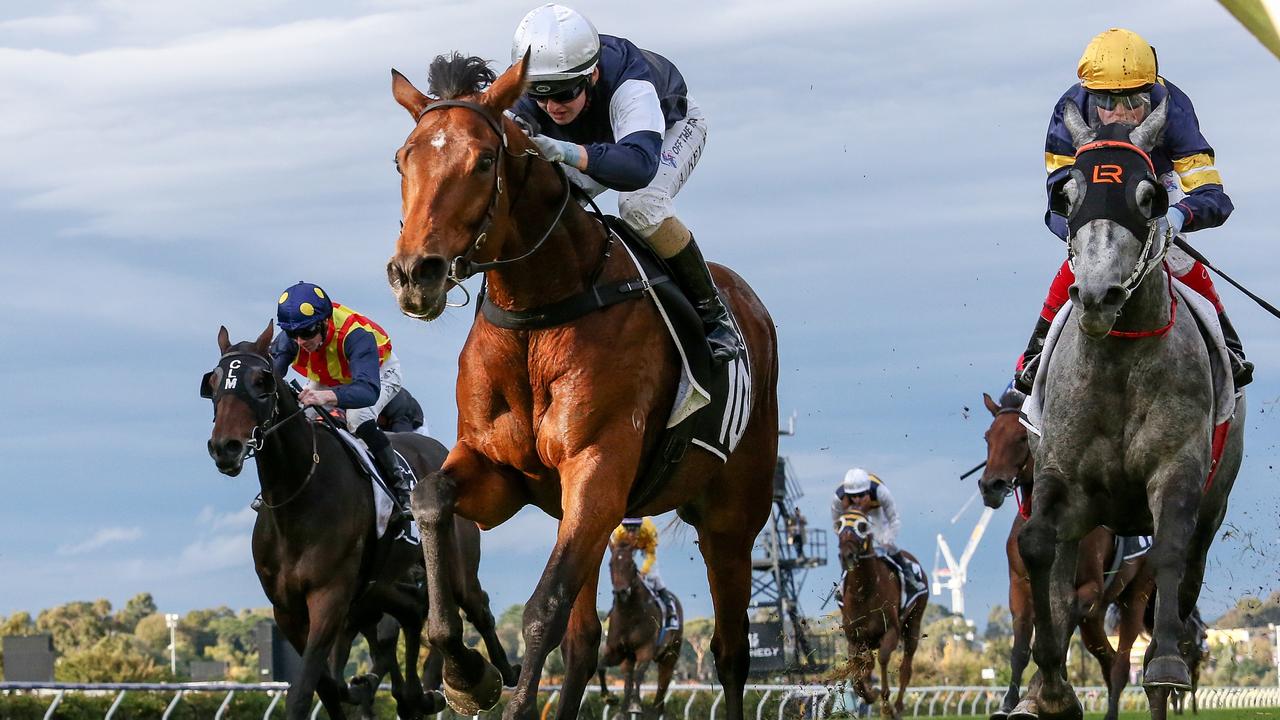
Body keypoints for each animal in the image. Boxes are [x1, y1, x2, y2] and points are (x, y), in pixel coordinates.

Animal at [596, 540, 680, 712]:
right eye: (610, 564)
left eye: (631, 564)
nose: (621, 592)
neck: (629, 614)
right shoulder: (617, 651)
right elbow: (601, 667)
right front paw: (608, 697)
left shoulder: (646, 649)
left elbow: (639, 675)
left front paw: (635, 704)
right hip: (630, 658)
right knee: (628, 679)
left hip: (669, 657)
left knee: (660, 688)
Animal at [834, 509, 926, 717]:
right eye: (839, 526)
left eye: (862, 527)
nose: (847, 555)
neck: (864, 592)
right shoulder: (855, 639)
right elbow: (858, 675)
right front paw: (870, 693)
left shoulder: (891, 630)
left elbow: (883, 658)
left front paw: (884, 700)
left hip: (914, 622)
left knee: (905, 667)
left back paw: (897, 706)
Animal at [972, 386, 1157, 717]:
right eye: (988, 436)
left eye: (1022, 438)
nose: (990, 485)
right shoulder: (1019, 586)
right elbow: (1019, 648)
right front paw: (1008, 704)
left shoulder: (1091, 587)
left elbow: (1063, 619)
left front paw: (1049, 684)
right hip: (1095, 619)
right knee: (1107, 657)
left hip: (1136, 594)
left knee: (1121, 663)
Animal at [1003, 96, 1244, 717]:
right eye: (1068, 194)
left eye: (1149, 196)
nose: (1096, 295)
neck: (1118, 364)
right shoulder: (1060, 476)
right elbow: (1038, 550)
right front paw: (1052, 688)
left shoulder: (1177, 470)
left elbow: (1169, 551)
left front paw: (1165, 666)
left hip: (1215, 500)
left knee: (1185, 571)